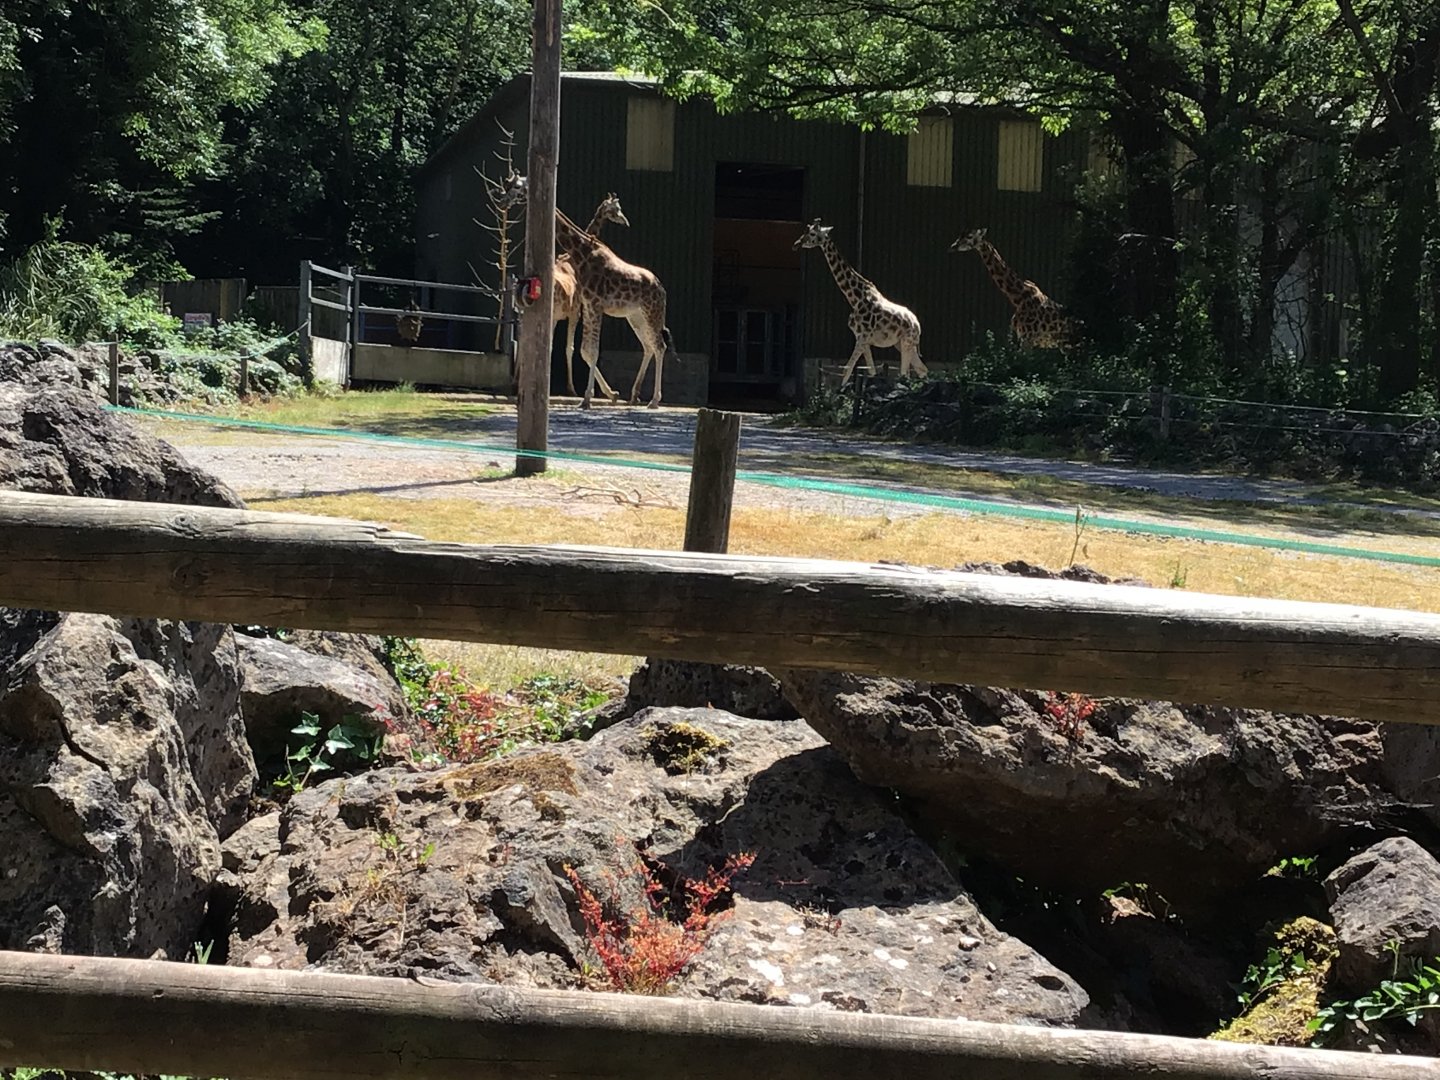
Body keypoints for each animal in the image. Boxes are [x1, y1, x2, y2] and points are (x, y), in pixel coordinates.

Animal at [554, 192, 629, 399]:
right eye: (615, 208)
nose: (625, 221)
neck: (572, 259)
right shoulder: (578, 309)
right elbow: (572, 348)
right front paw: (582, 390)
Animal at [794, 218, 927, 385]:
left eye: (812, 233)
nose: (796, 244)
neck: (855, 299)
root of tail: (917, 325)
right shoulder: (863, 339)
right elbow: (871, 371)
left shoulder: (862, 338)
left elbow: (847, 370)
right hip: (902, 344)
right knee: (922, 370)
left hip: (906, 342)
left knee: (905, 374)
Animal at [949, 228, 1080, 349]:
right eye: (959, 235)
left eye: (970, 236)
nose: (953, 246)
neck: (1018, 296)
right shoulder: (1022, 338)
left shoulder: (1028, 339)